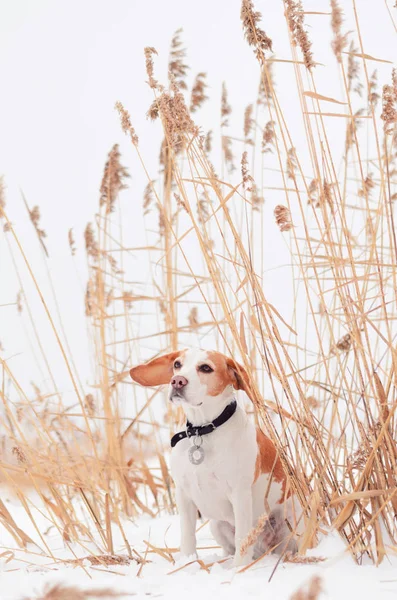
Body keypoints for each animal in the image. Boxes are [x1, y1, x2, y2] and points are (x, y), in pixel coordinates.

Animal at [130, 350, 296, 564]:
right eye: (177, 364)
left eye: (206, 368)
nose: (177, 381)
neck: (203, 430)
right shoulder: (183, 495)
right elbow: (188, 536)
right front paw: (188, 561)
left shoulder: (240, 495)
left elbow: (243, 539)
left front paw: (239, 568)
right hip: (217, 525)